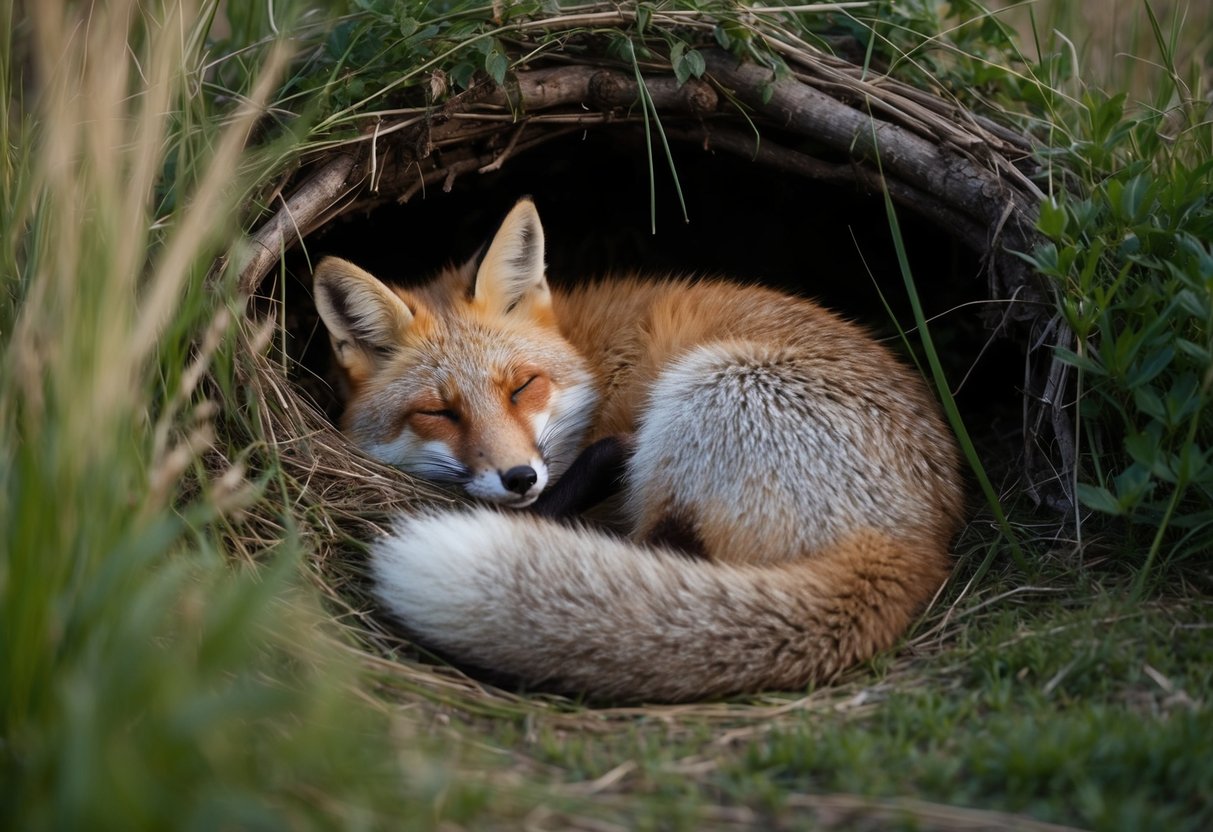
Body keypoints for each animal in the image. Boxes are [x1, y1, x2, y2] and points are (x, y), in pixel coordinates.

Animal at [312, 197, 964, 703]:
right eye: (439, 413)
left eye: (522, 387)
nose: (519, 477)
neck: (591, 362)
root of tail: (915, 541)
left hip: (708, 385)